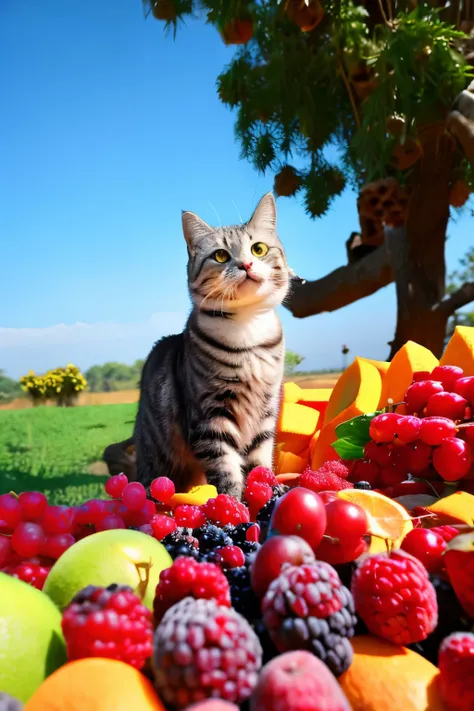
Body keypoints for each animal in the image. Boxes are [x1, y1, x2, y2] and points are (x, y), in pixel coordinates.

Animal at [132, 192, 288, 498]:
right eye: (220, 255)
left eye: (259, 249)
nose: (246, 265)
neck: (248, 330)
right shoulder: (211, 416)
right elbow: (226, 468)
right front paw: (233, 504)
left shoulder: (266, 412)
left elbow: (260, 460)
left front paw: (268, 490)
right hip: (156, 462)